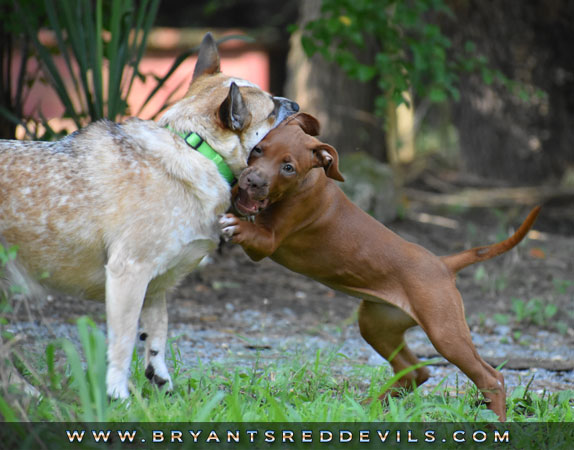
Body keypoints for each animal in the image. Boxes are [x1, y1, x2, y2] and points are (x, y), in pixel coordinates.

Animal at [1, 33, 302, 400]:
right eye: (271, 110)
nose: (296, 104)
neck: (196, 148)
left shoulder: (156, 285)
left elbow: (157, 332)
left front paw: (161, 382)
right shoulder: (128, 274)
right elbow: (124, 340)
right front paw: (117, 394)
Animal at [220, 110, 540, 420]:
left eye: (288, 168)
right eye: (258, 150)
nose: (253, 181)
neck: (307, 183)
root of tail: (442, 264)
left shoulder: (268, 243)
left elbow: (250, 231)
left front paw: (233, 224)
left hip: (445, 332)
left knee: (490, 377)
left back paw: (495, 420)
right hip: (377, 324)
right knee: (415, 371)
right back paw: (367, 406)